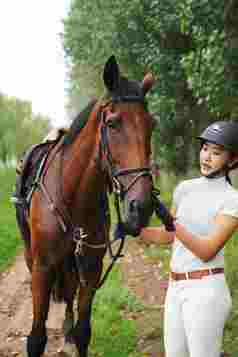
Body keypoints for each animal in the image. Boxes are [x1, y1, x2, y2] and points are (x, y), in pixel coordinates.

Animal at [15, 54, 155, 354]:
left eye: (152, 125)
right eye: (112, 123)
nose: (142, 206)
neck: (72, 196)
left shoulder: (91, 266)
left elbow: (83, 332)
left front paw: (73, 332)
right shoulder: (42, 267)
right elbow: (36, 339)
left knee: (69, 292)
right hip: (32, 255)